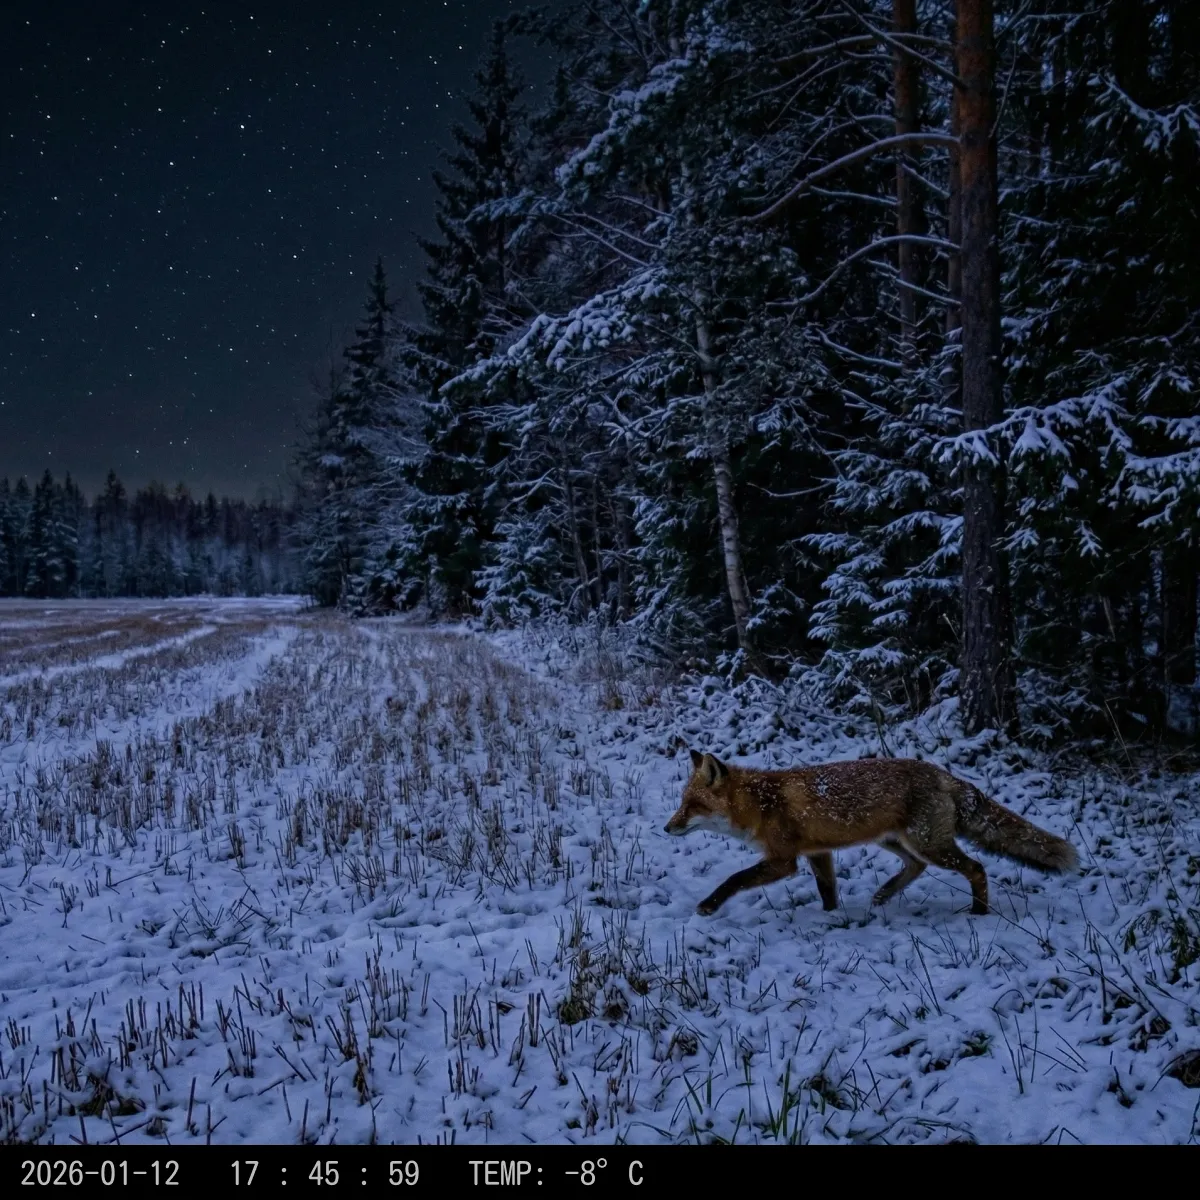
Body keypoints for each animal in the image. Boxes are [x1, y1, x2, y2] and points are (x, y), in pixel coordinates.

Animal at [665, 750, 1078, 917]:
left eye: (691, 805)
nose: (666, 828)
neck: (761, 804)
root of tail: (945, 775)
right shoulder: (817, 852)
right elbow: (827, 891)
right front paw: (831, 918)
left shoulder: (783, 861)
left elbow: (734, 879)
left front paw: (709, 905)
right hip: (896, 841)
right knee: (916, 867)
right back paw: (883, 895)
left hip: (929, 843)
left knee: (976, 867)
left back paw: (979, 913)